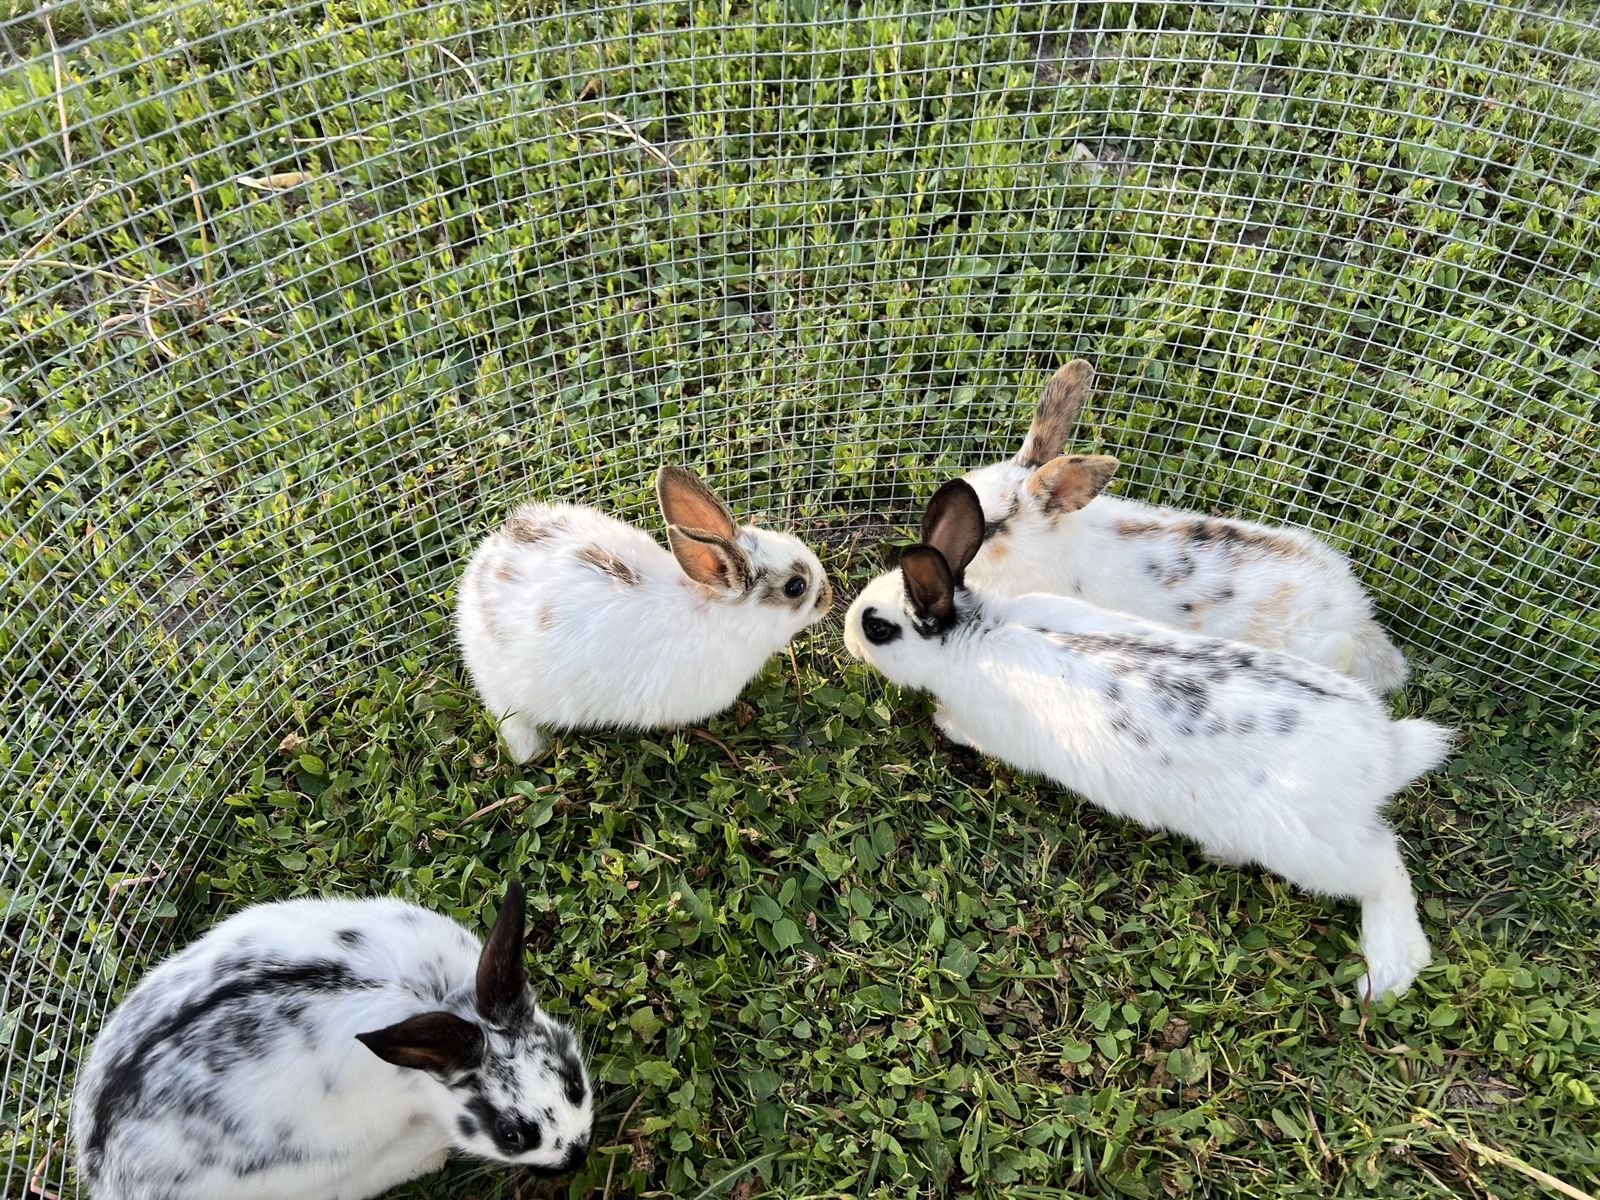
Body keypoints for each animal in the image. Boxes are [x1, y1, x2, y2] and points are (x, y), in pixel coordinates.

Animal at [456, 465, 832, 763]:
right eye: (796, 587)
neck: (716, 614)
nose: (827, 597)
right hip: (507, 693)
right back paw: (531, 752)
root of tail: (476, 577)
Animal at [844, 478, 1450, 1000]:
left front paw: (944, 723)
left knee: (1383, 867)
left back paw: (1387, 972)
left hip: (1310, 847)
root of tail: (1384, 755)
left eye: (877, 627)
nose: (848, 638)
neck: (973, 633)